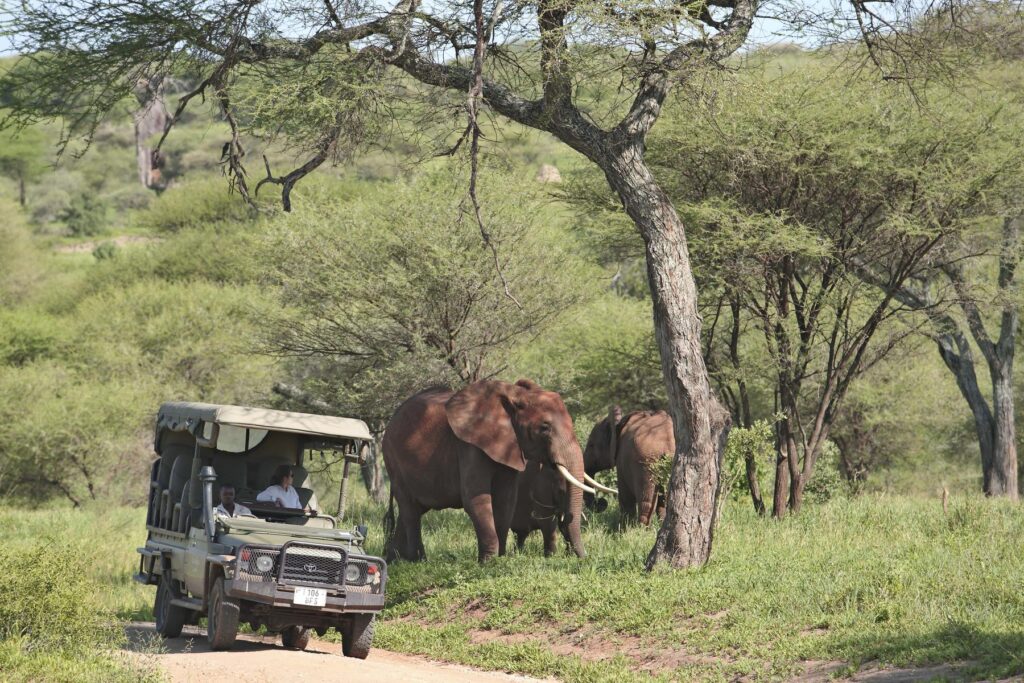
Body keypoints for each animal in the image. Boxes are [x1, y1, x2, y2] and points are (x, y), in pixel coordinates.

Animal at [382, 378, 593, 561]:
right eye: (544, 427)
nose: (584, 558)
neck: (513, 397)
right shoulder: (469, 447)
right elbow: (477, 500)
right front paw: (488, 563)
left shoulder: (510, 447)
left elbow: (506, 501)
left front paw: (501, 558)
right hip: (393, 459)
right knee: (410, 510)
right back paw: (418, 561)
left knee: (412, 510)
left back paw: (395, 560)